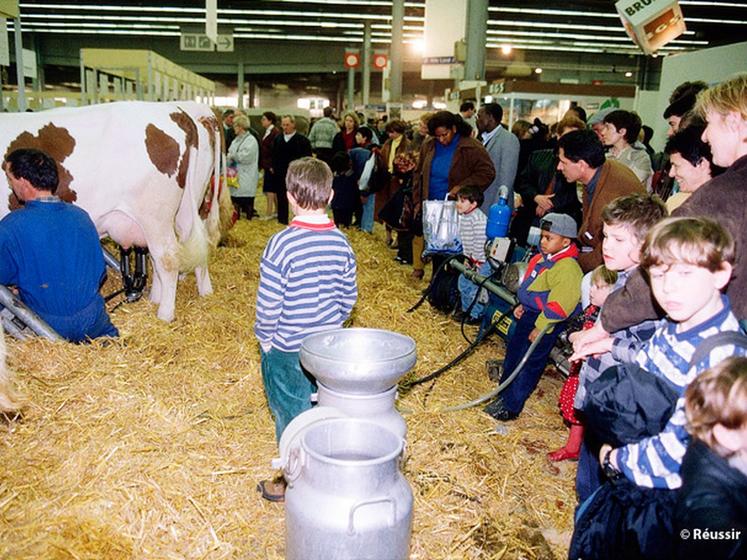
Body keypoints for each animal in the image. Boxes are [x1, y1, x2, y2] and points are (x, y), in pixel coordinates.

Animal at [0, 99, 224, 320]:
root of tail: (176, 111)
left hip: (155, 215)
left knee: (167, 259)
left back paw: (164, 315)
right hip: (186, 207)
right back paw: (195, 296)